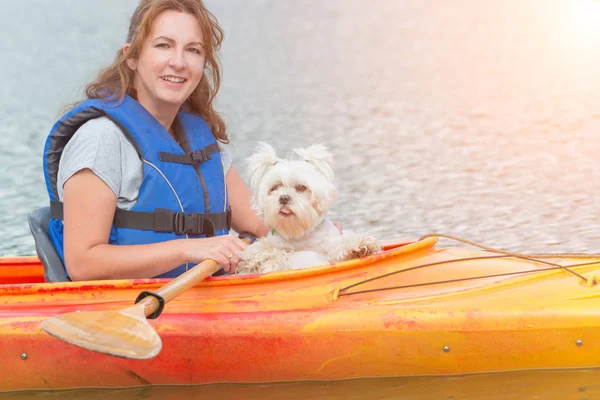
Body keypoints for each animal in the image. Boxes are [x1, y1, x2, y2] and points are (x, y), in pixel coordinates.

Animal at [236, 143, 380, 276]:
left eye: (301, 187)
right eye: (275, 187)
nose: (283, 198)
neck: (300, 234)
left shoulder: (329, 247)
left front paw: (360, 245)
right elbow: (265, 250)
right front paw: (272, 259)